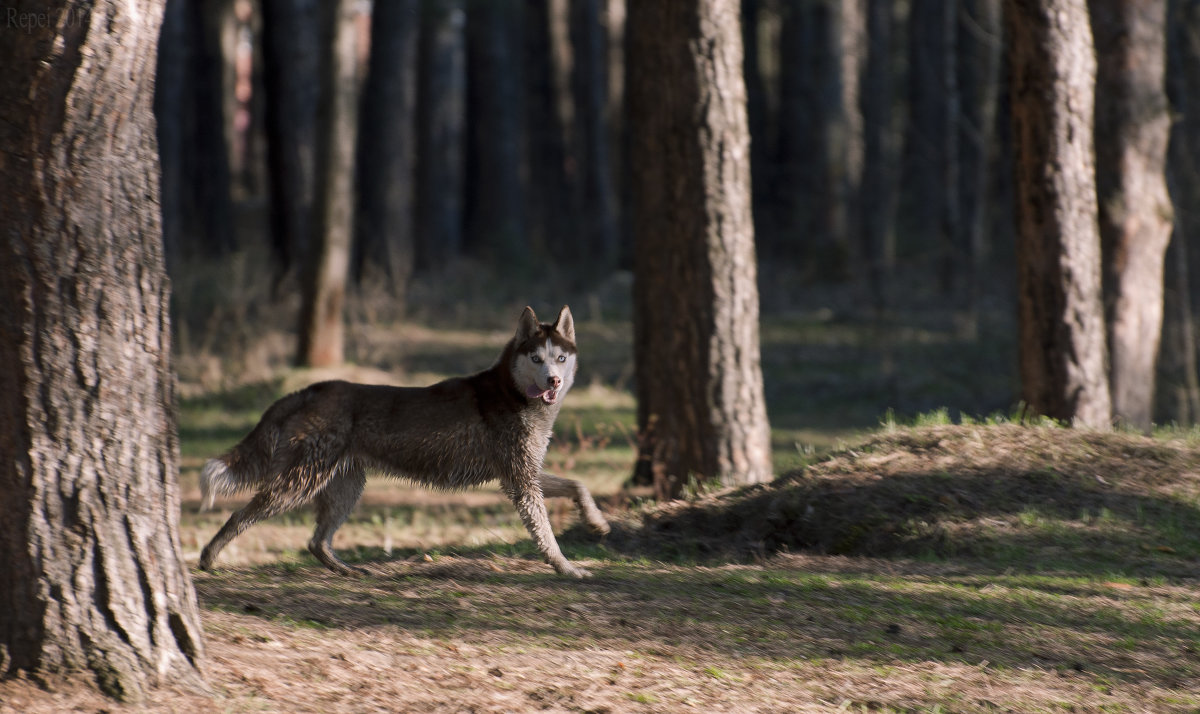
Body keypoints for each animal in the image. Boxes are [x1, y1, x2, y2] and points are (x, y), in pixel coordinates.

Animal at [200, 304, 609, 578]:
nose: (554, 380)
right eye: (536, 358)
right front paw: (567, 568)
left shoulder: (524, 474)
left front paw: (597, 523)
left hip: (345, 487)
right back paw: (208, 558)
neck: (513, 392)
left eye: (560, 357)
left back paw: (346, 570)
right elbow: (546, 535)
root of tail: (308, 389)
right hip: (297, 483)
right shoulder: (520, 482)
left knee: (316, 541)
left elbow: (579, 485)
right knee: (240, 515)